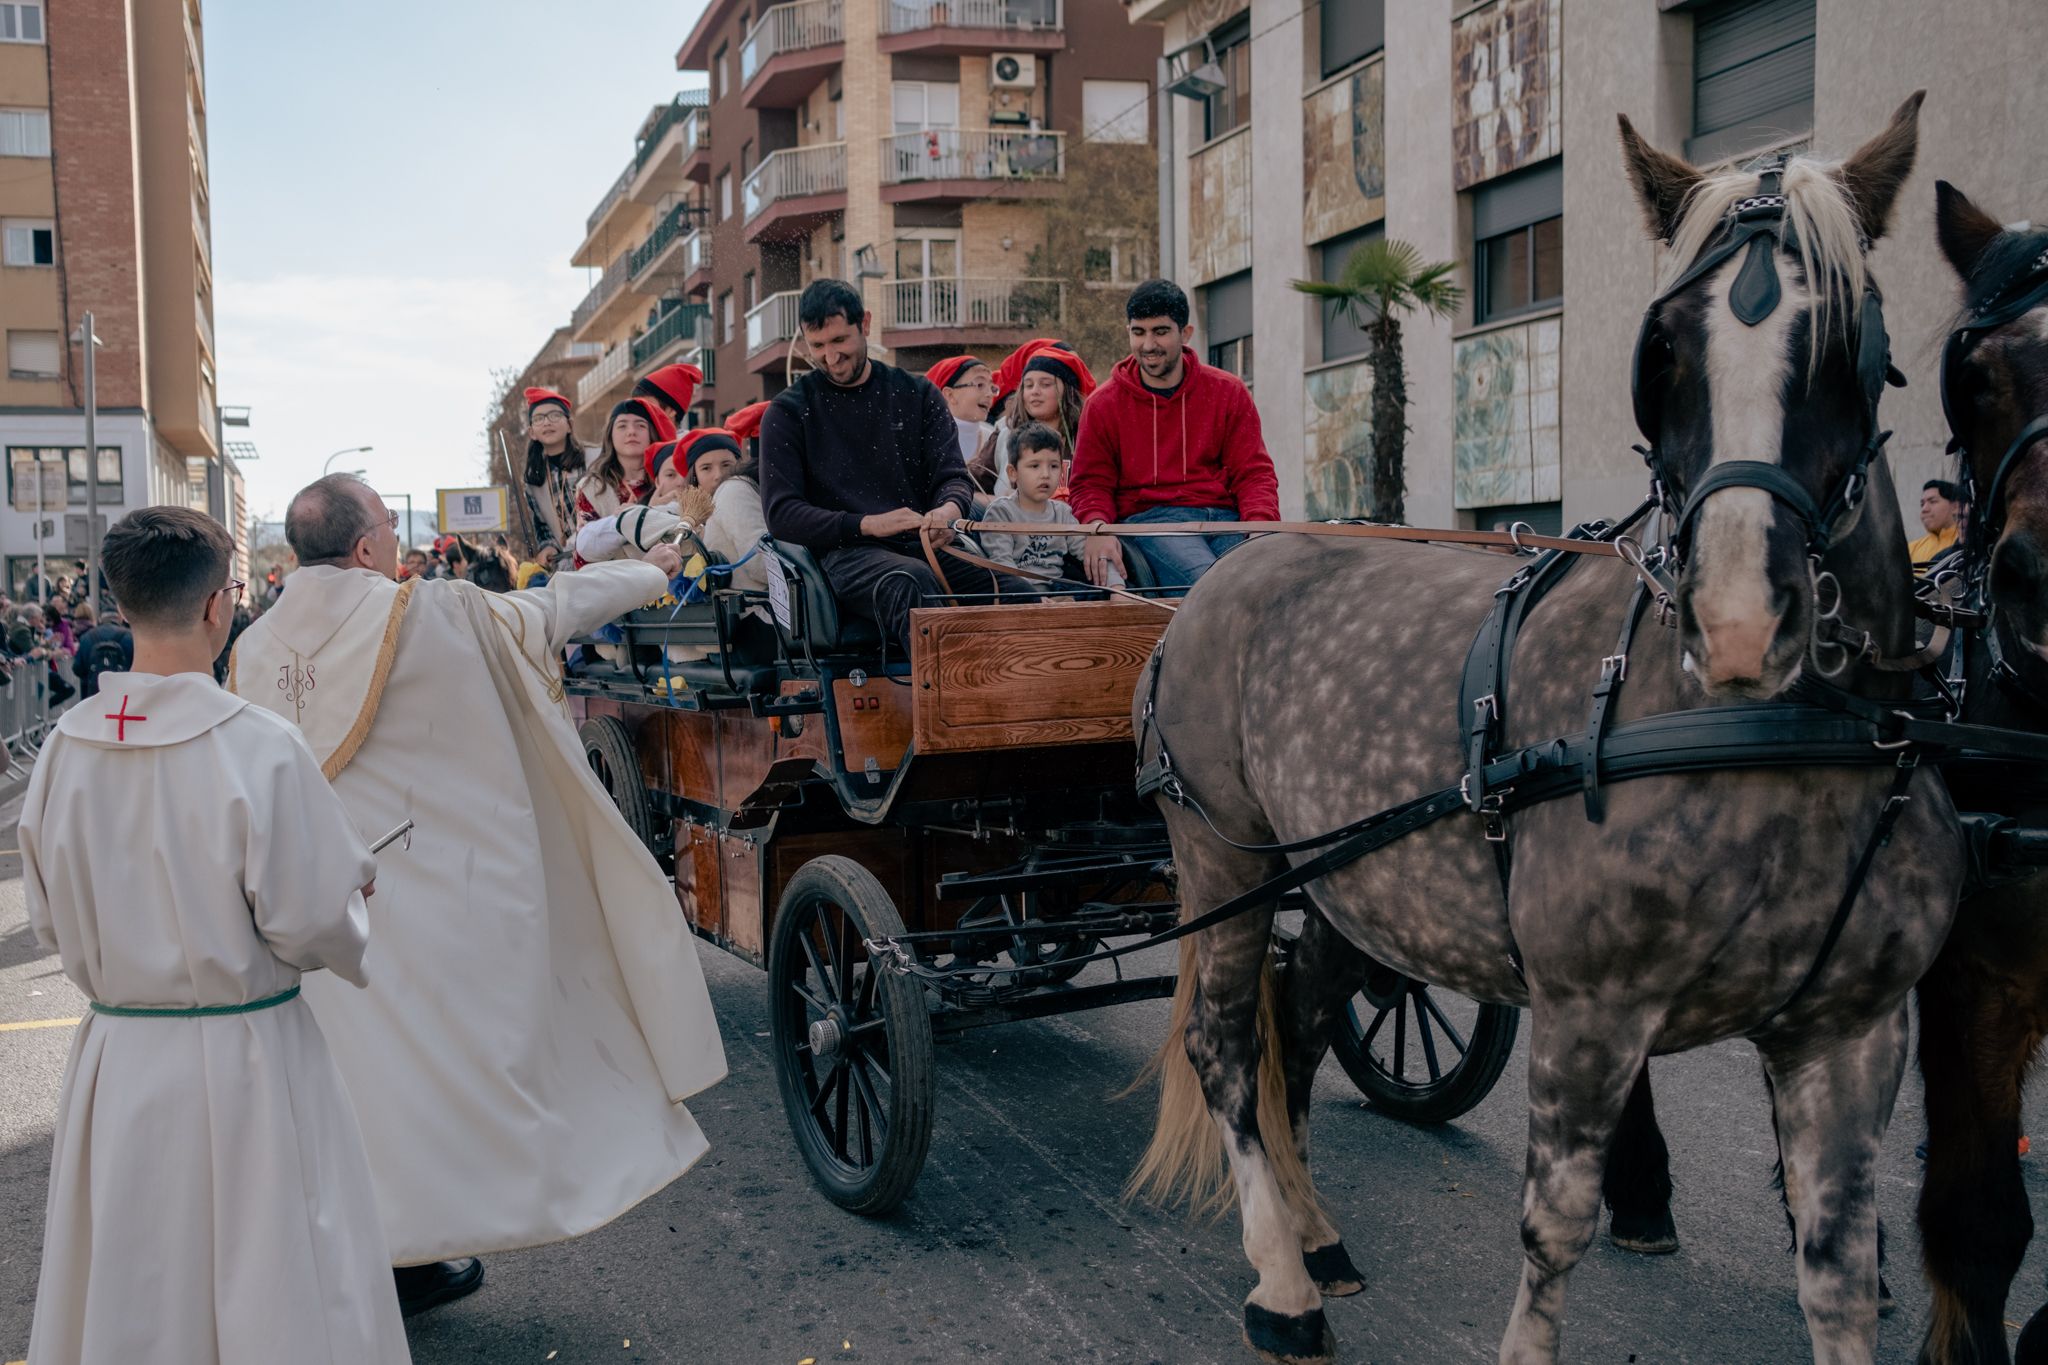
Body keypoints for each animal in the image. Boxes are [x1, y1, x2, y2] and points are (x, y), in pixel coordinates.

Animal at [1130, 96, 1957, 1365]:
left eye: (1843, 348)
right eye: (1661, 354)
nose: (1736, 619)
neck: (1765, 736)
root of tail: (1225, 573)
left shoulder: (1851, 1032)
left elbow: (1835, 1266)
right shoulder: (1589, 1012)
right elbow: (1554, 1227)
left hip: (1349, 886)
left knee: (1301, 1020)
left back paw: (1315, 1235)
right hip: (1221, 857)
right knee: (1226, 1048)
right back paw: (1279, 1279)